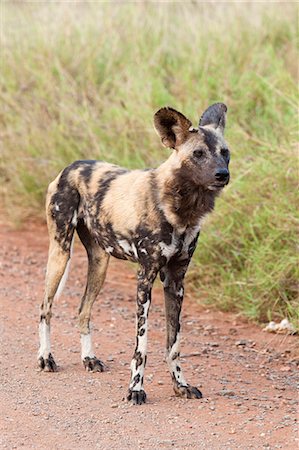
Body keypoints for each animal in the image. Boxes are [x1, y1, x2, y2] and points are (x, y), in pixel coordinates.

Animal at [38, 103, 231, 406]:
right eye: (198, 154)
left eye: (225, 152)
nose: (222, 174)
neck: (181, 210)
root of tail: (71, 166)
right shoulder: (145, 278)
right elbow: (142, 347)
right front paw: (136, 389)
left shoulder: (176, 282)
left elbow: (173, 344)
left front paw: (181, 385)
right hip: (60, 252)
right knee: (45, 308)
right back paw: (46, 358)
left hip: (100, 263)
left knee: (83, 311)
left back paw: (88, 358)